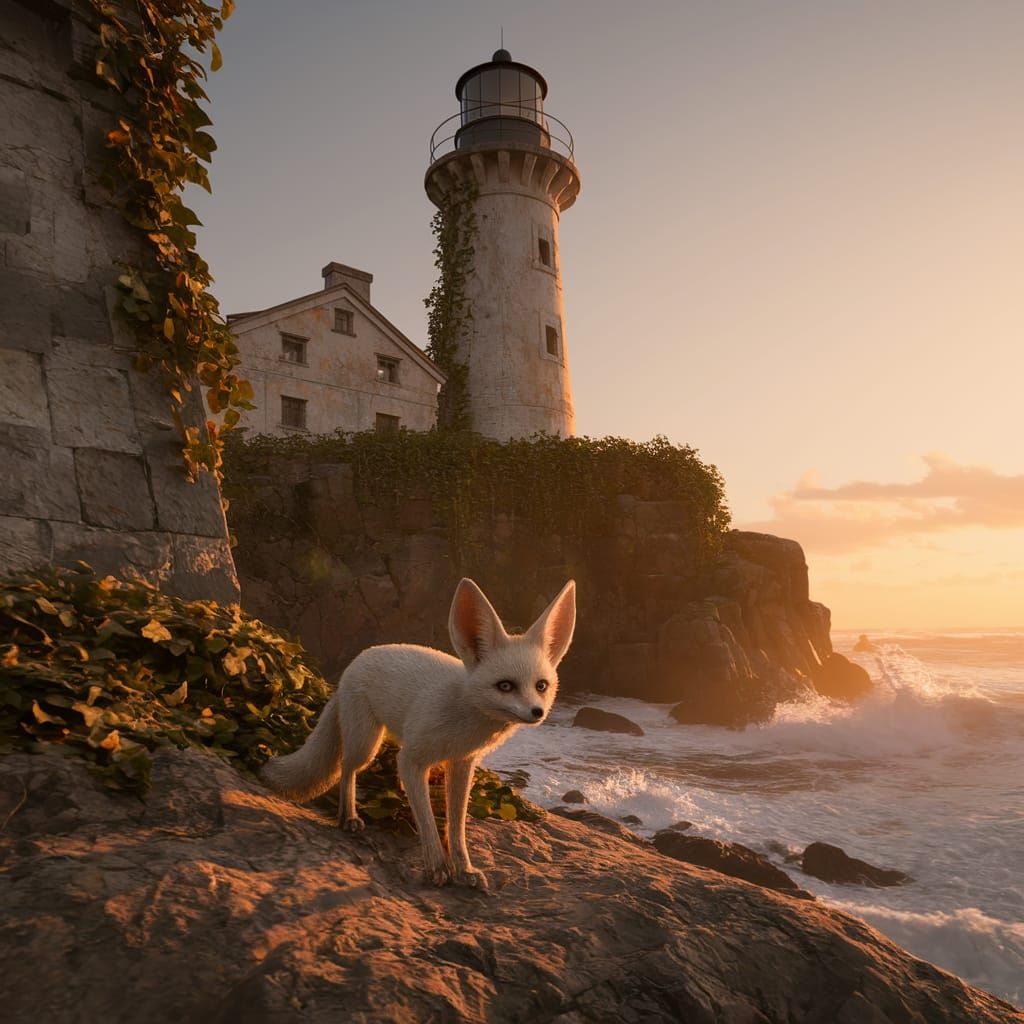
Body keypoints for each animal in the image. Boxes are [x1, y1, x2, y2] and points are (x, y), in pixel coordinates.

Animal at [261, 577, 576, 889]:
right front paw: (437, 866)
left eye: (541, 686)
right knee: (346, 768)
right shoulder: (412, 758)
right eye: (506, 686)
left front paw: (465, 869)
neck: (462, 715)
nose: (537, 713)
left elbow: (456, 824)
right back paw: (348, 817)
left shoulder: (462, 763)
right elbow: (426, 819)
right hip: (366, 744)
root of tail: (357, 660)